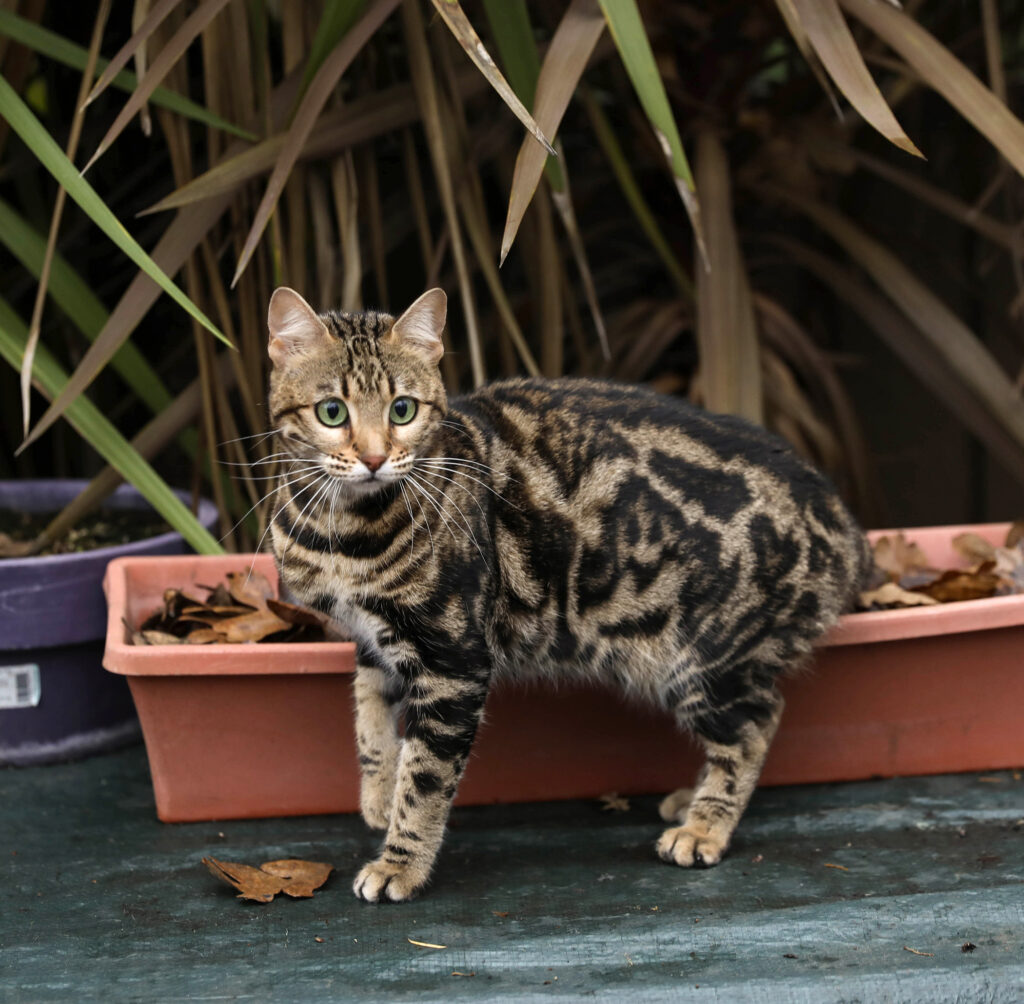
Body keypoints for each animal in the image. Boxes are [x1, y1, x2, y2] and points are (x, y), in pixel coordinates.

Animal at [262, 282, 864, 901]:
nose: (375, 458)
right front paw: (379, 800)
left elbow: (426, 779)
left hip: (703, 661)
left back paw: (705, 826)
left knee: (755, 725)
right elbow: (371, 725)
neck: (339, 533)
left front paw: (400, 864)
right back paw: (688, 800)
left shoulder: (453, 658)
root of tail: (844, 530)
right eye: (332, 411)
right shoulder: (373, 641)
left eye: (402, 409)